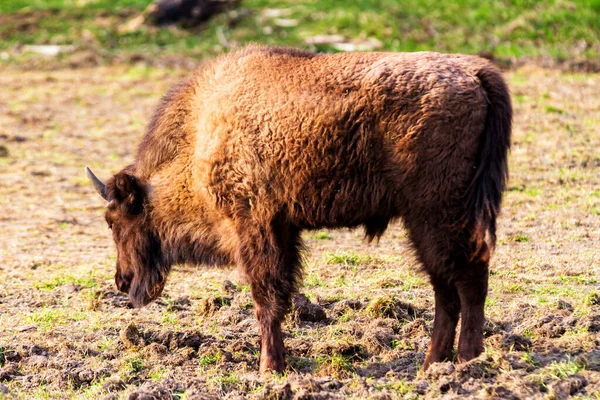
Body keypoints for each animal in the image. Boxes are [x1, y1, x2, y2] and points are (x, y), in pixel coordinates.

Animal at [86, 45, 510, 374]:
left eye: (114, 221)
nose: (121, 281)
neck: (201, 137)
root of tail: (475, 73)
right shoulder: (283, 229)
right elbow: (281, 294)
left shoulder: (255, 227)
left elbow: (266, 299)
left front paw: (269, 369)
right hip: (436, 221)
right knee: (449, 287)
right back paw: (433, 365)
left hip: (435, 216)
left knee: (465, 282)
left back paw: (466, 362)